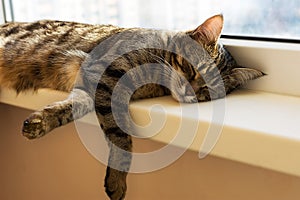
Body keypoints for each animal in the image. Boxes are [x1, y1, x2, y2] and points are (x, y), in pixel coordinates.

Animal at [0, 14, 262, 199]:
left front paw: (41, 121)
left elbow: (71, 108)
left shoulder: (91, 87)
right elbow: (120, 137)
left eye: (206, 92)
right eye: (192, 69)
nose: (190, 92)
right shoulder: (106, 74)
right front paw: (117, 180)